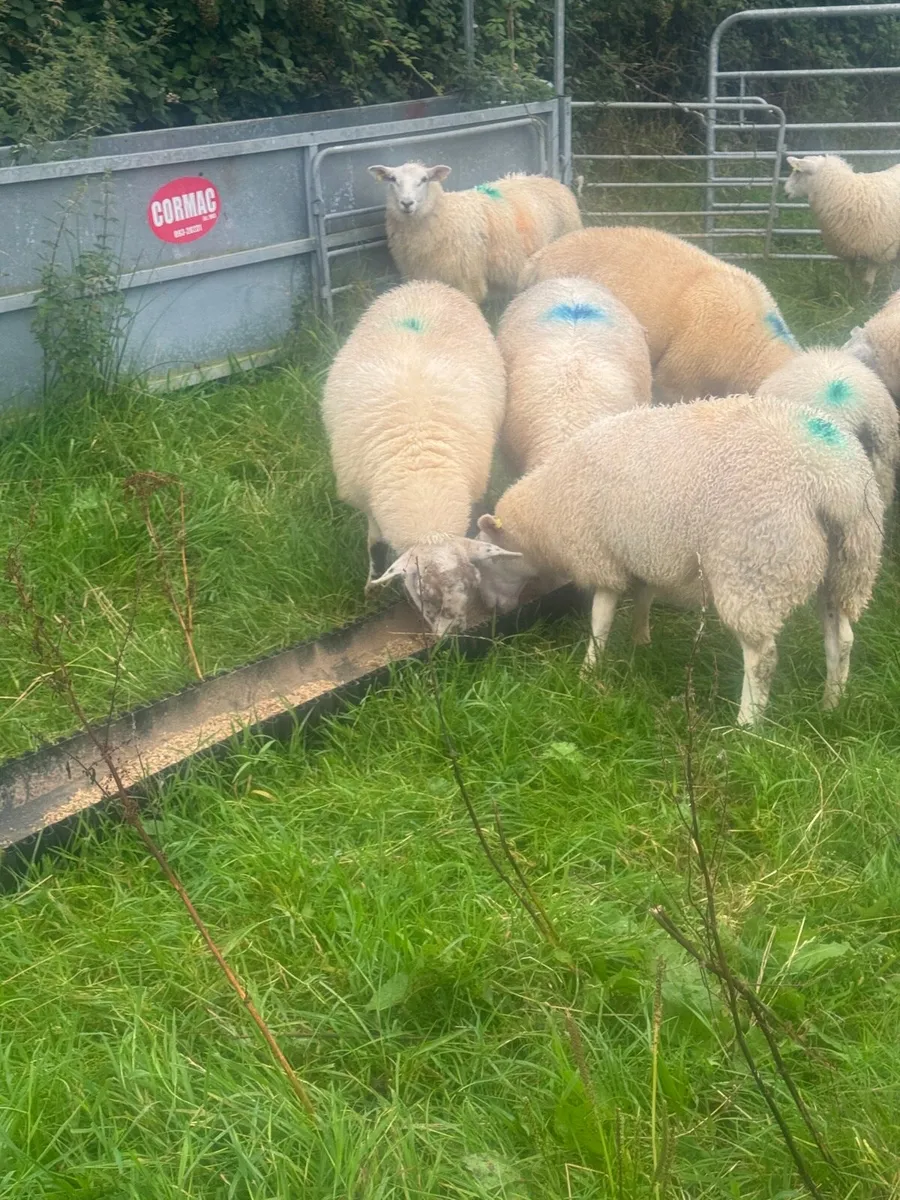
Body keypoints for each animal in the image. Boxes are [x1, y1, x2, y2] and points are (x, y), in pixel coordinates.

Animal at [321, 279, 518, 635]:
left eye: (473, 585)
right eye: (425, 593)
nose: (454, 638)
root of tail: (427, 283)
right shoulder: (368, 501)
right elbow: (375, 544)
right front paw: (373, 586)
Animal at [367, 162, 582, 305]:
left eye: (424, 179)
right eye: (393, 179)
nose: (406, 203)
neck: (446, 215)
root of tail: (548, 179)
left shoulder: (466, 278)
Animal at [474, 396, 883, 725]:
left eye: (488, 562)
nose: (492, 613)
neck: (546, 516)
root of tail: (834, 484)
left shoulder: (601, 557)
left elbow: (600, 620)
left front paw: (588, 672)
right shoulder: (643, 552)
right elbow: (644, 597)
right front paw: (641, 640)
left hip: (755, 566)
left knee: (763, 656)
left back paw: (747, 726)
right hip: (848, 566)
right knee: (842, 639)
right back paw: (831, 704)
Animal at [784, 155, 900, 290]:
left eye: (798, 171)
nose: (785, 192)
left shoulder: (878, 250)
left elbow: (867, 283)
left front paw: (866, 296)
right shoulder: (847, 247)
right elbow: (848, 277)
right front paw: (848, 291)